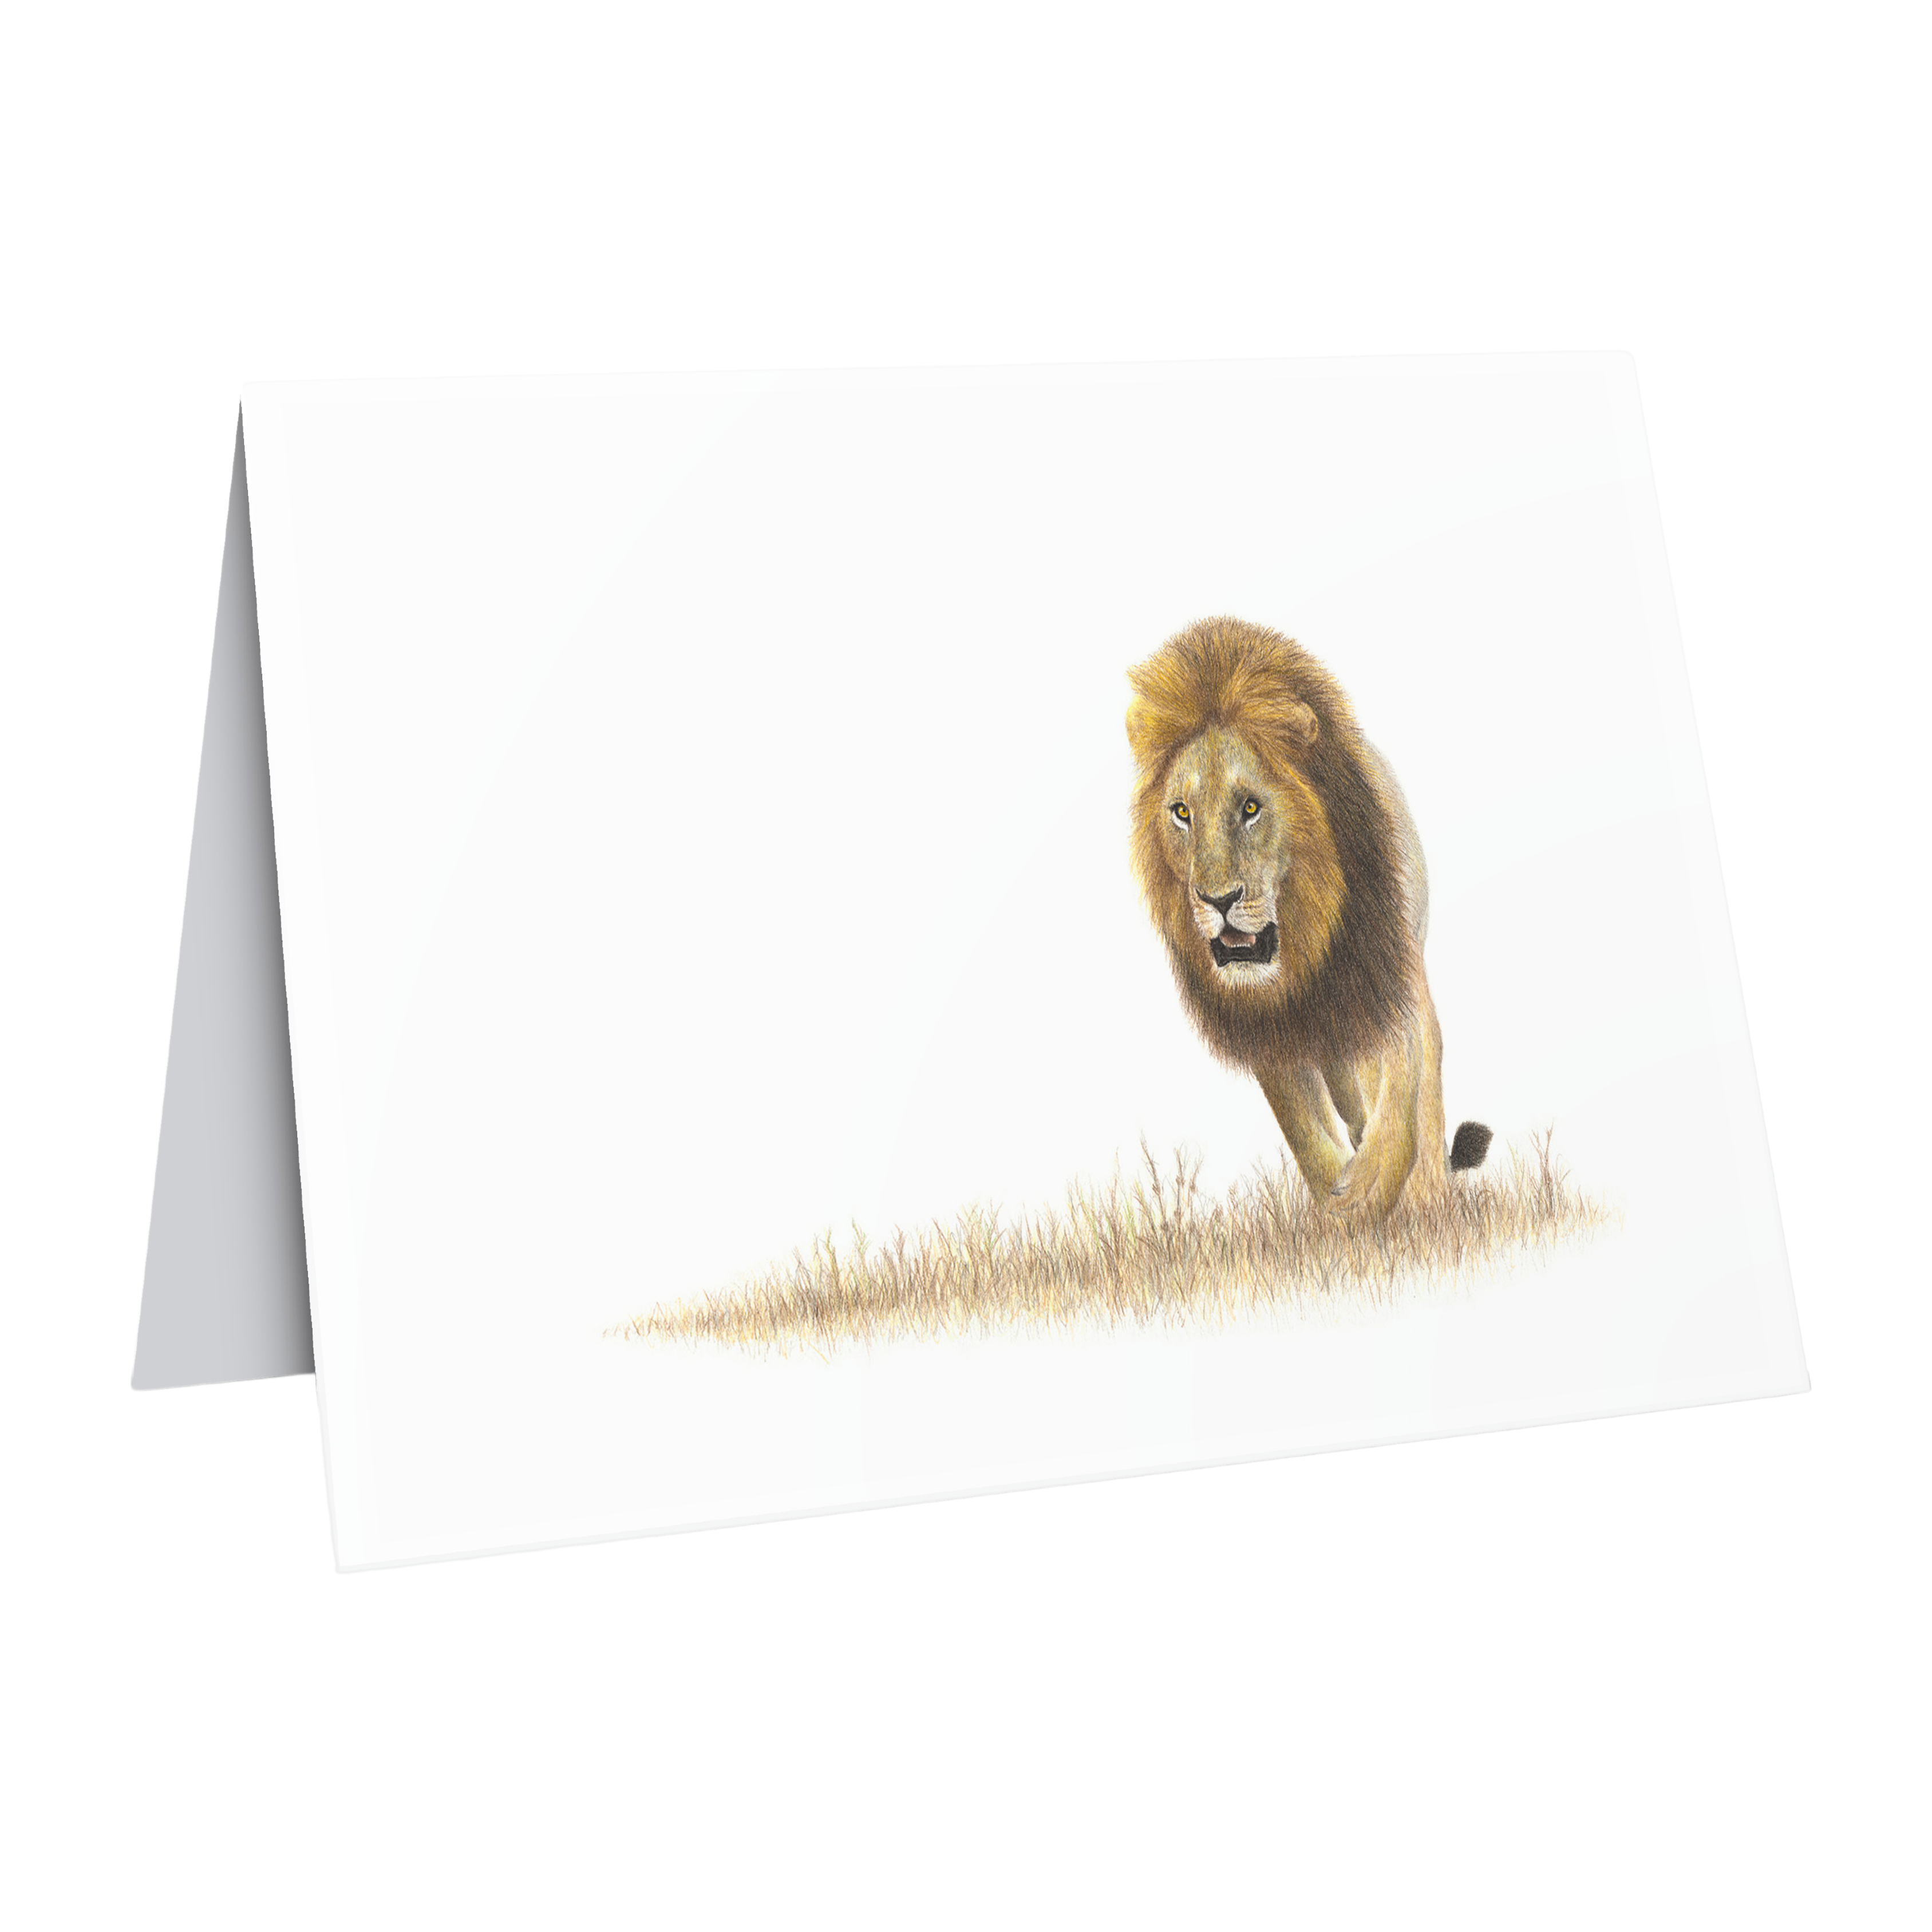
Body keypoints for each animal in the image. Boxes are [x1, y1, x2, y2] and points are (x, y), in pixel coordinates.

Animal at [1126, 617, 1491, 1221]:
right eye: (1181, 813)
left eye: (1251, 807)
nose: (1217, 899)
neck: (1306, 949)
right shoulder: (1269, 1027)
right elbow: (1301, 1125)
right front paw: (1339, 1200)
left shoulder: (1387, 984)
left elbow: (1402, 1104)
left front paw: (1378, 1190)